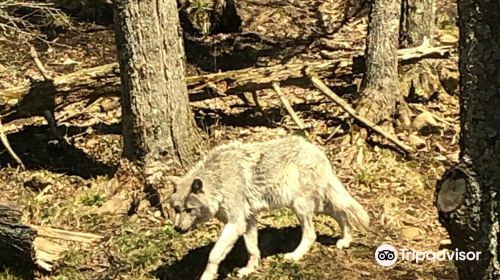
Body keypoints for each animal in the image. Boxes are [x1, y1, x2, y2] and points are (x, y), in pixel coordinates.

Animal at [170, 135, 370, 278]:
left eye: (189, 210)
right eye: (177, 210)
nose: (177, 229)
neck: (218, 180)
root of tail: (317, 150)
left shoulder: (236, 223)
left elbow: (213, 255)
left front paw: (208, 276)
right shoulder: (248, 220)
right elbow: (252, 249)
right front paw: (249, 270)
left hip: (300, 206)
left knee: (312, 234)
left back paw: (294, 256)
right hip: (318, 204)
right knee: (342, 213)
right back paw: (345, 241)